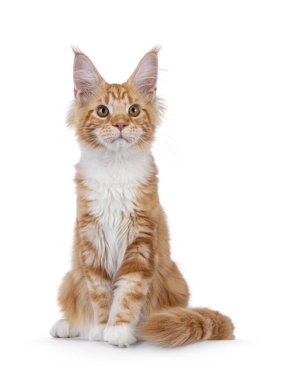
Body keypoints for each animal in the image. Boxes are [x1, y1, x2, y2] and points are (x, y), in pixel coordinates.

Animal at [50, 47, 234, 348]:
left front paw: (119, 331)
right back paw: (69, 325)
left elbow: (128, 293)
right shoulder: (91, 243)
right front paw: (101, 328)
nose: (120, 123)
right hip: (70, 278)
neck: (115, 171)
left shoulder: (141, 242)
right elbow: (100, 294)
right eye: (103, 111)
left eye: (134, 110)